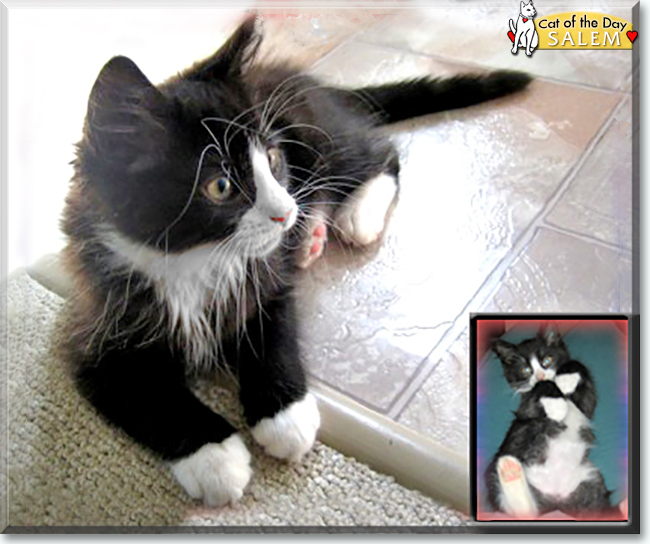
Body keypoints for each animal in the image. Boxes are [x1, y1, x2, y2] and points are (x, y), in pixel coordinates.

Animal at [59, 14, 532, 506]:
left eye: (272, 158)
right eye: (221, 186)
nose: (285, 212)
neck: (192, 263)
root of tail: (316, 83)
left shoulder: (266, 280)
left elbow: (274, 334)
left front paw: (285, 417)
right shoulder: (94, 325)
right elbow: (148, 396)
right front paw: (215, 457)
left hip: (316, 132)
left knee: (380, 154)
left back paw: (352, 216)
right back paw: (311, 235)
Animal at [484, 328, 612, 520]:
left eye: (547, 361)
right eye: (526, 369)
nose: (540, 375)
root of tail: (554, 504)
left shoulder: (585, 405)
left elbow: (578, 368)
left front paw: (566, 379)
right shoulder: (527, 408)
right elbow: (542, 387)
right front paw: (557, 406)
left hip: (590, 481)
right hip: (494, 472)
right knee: (525, 513)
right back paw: (510, 472)